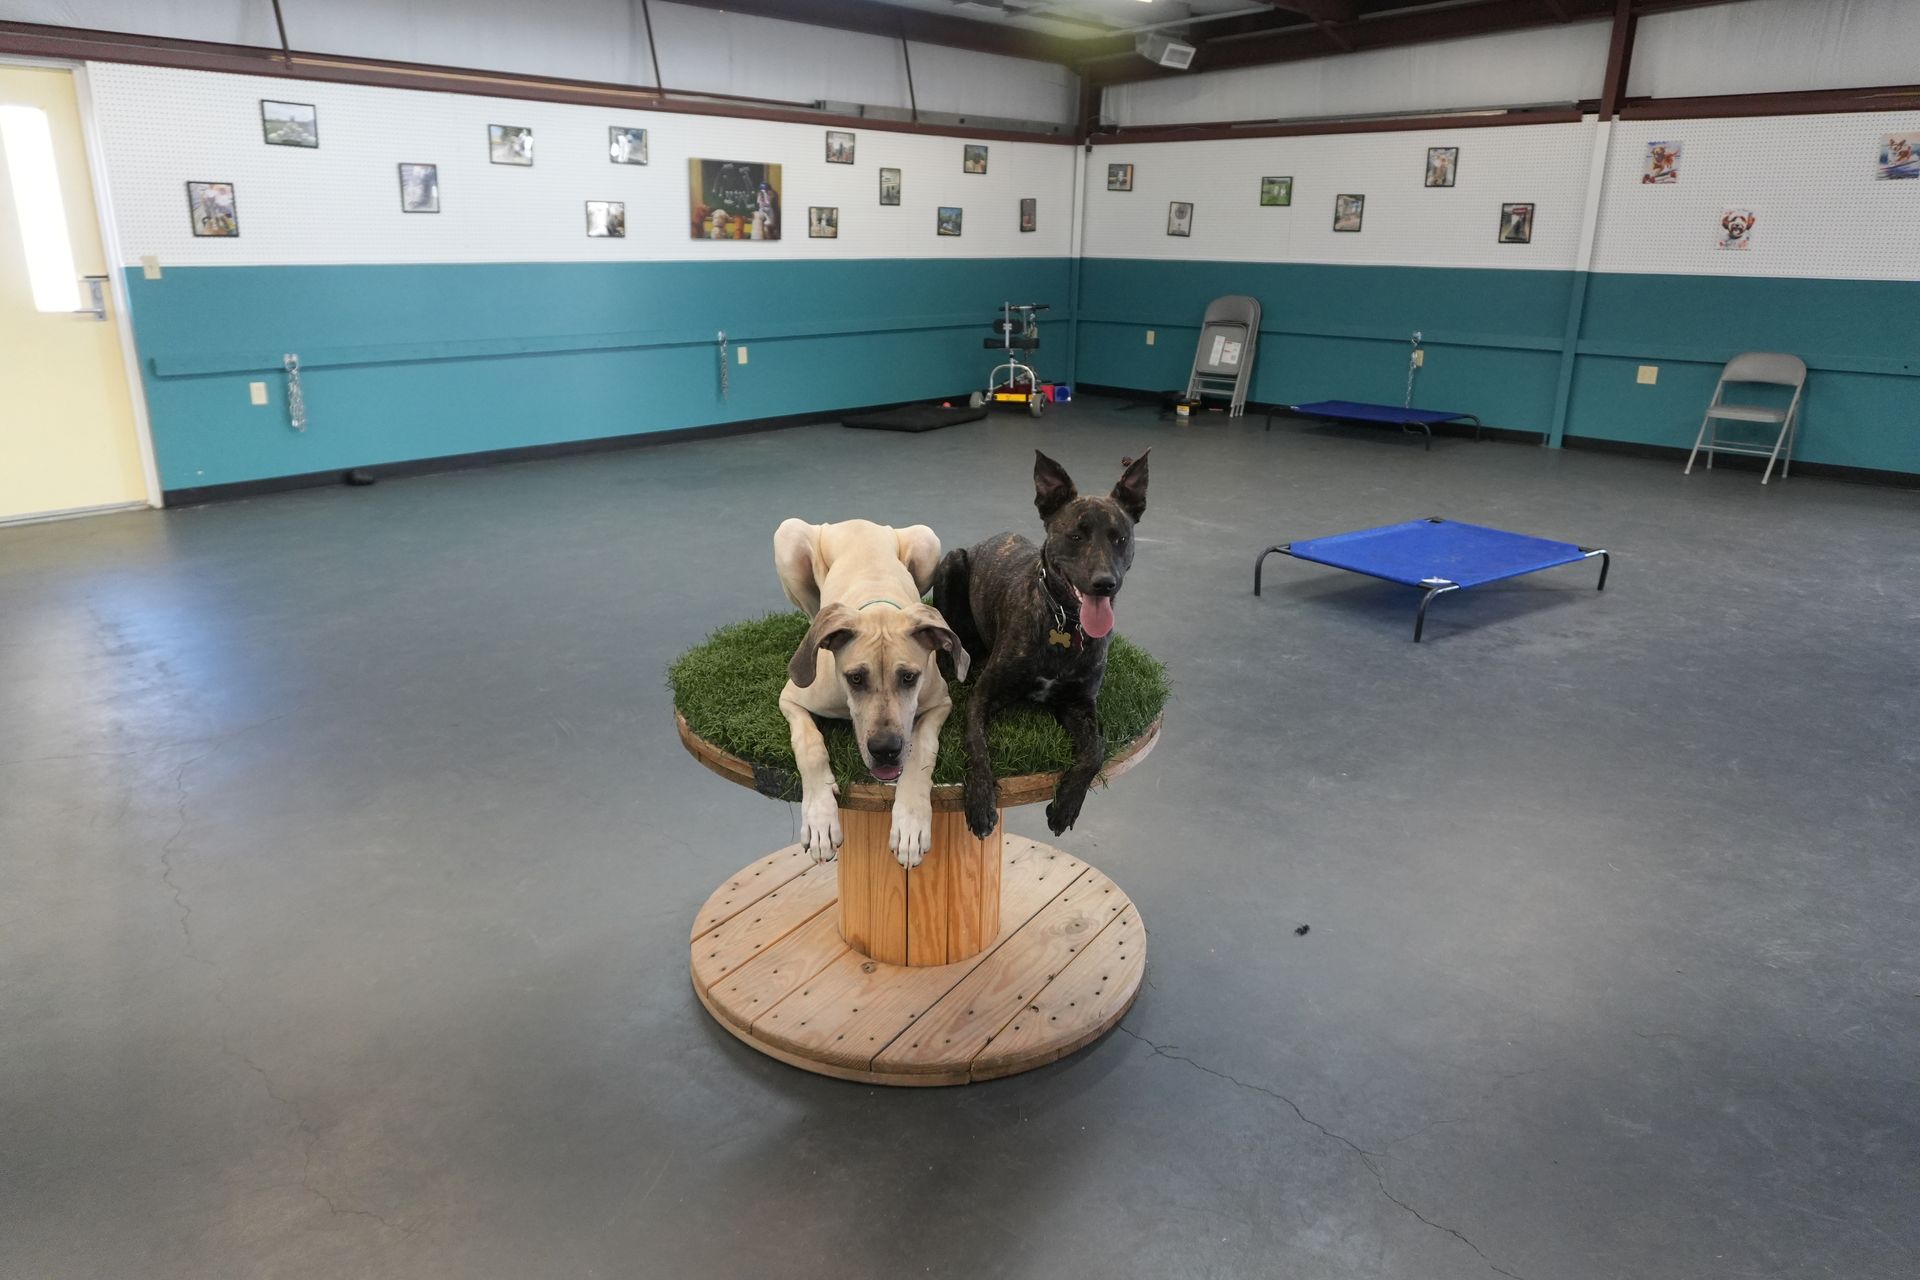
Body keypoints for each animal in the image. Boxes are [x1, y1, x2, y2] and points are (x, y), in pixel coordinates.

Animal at [774, 519, 969, 868]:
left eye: (909, 677)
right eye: (855, 678)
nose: (885, 749)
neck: (878, 606)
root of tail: (856, 522)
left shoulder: (940, 703)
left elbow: (921, 747)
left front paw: (910, 823)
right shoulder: (791, 698)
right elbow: (810, 745)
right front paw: (820, 817)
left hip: (926, 541)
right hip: (789, 536)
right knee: (812, 612)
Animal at [932, 451, 1149, 841]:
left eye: (1120, 538)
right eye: (1075, 536)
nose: (1104, 583)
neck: (1062, 622)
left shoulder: (1081, 704)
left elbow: (1095, 750)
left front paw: (1066, 806)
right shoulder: (982, 696)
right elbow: (977, 746)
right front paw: (981, 803)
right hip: (952, 562)